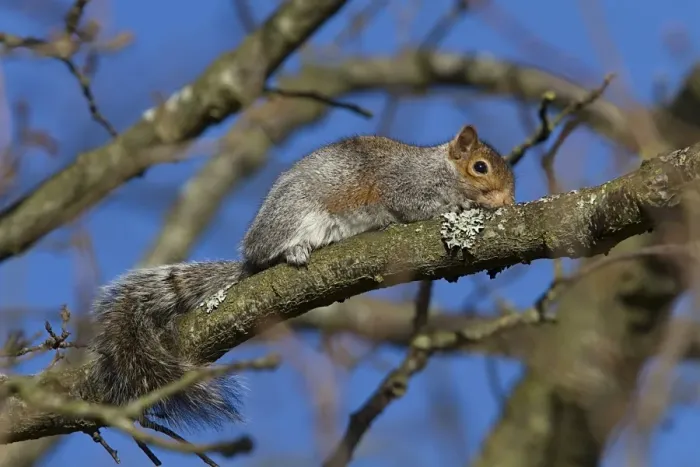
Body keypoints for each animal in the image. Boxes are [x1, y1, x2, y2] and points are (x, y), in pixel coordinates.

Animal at [85, 125, 515, 429]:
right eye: (480, 168)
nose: (507, 201)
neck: (439, 168)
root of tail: (250, 259)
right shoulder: (405, 185)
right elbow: (417, 206)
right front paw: (459, 205)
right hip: (294, 216)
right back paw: (293, 251)